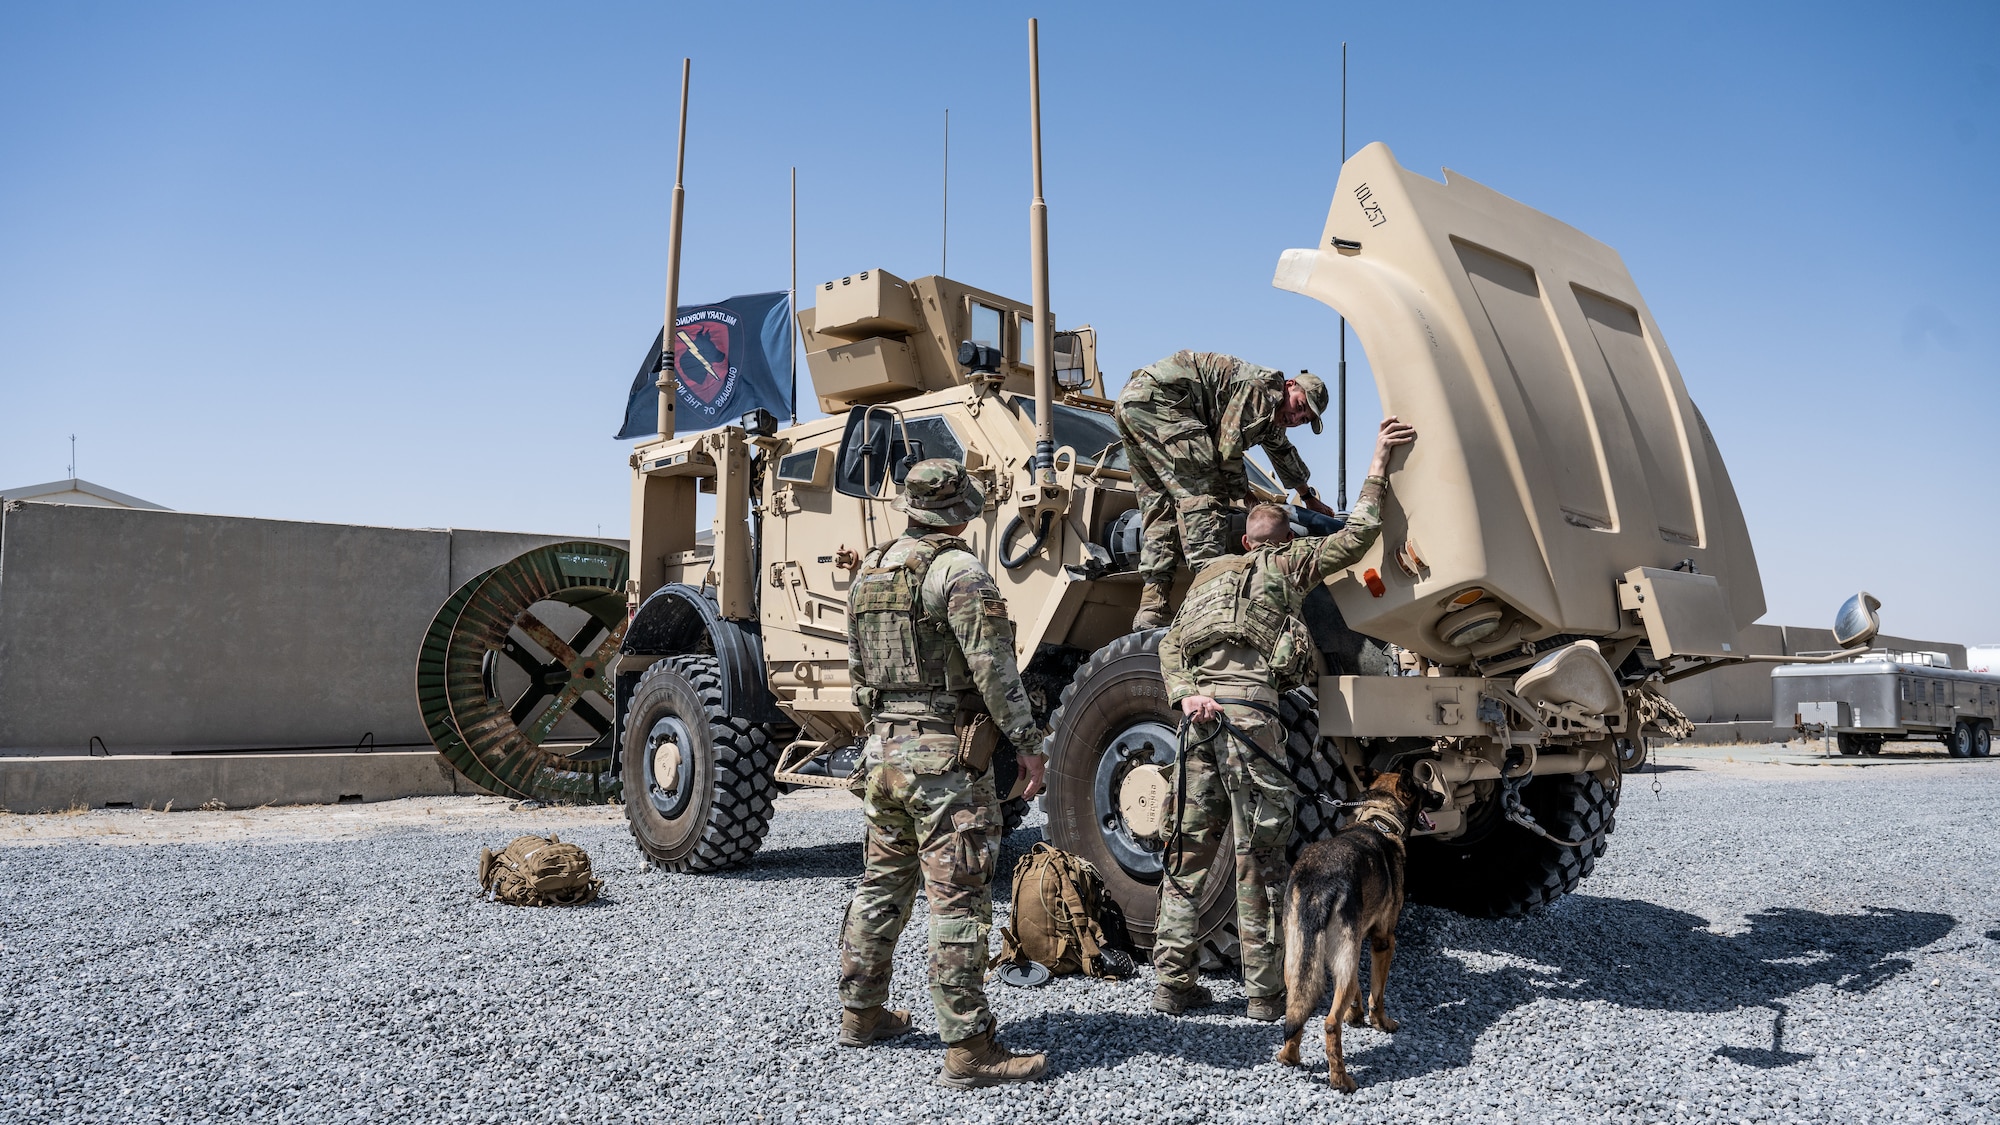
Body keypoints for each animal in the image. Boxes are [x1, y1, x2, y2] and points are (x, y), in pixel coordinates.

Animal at [1272, 764, 1432, 1088]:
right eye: (1424, 789)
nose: (1441, 796)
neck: (1379, 818)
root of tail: (1320, 883)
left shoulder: (1353, 947)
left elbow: (1358, 989)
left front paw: (1355, 1016)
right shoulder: (1383, 941)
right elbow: (1377, 994)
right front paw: (1380, 1023)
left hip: (1298, 959)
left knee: (1296, 1008)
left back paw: (1289, 1056)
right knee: (1330, 1024)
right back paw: (1341, 1080)